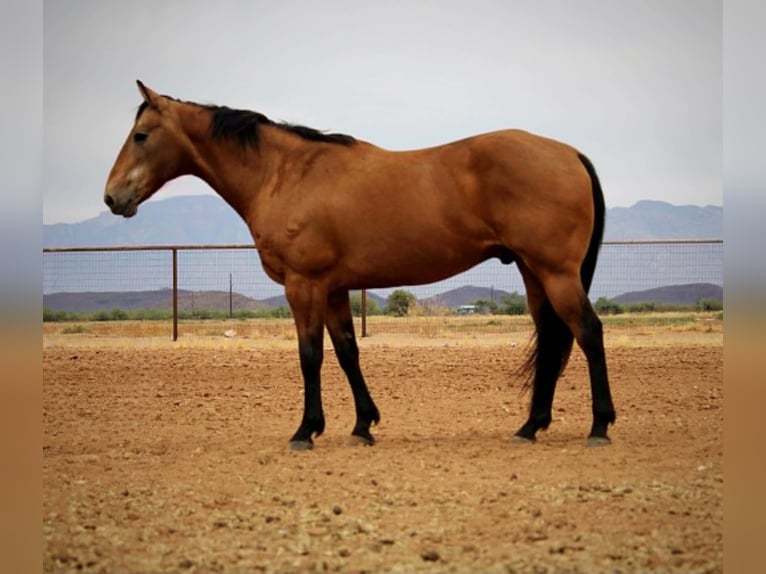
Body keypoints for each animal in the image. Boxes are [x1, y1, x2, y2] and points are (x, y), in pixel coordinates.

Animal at [104, 80, 616, 450]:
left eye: (141, 136)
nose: (112, 198)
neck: (287, 174)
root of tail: (569, 153)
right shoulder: (333, 289)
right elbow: (348, 352)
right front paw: (363, 425)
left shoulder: (304, 285)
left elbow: (310, 355)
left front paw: (305, 431)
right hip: (534, 273)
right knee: (553, 337)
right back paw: (530, 427)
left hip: (555, 272)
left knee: (588, 332)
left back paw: (599, 426)